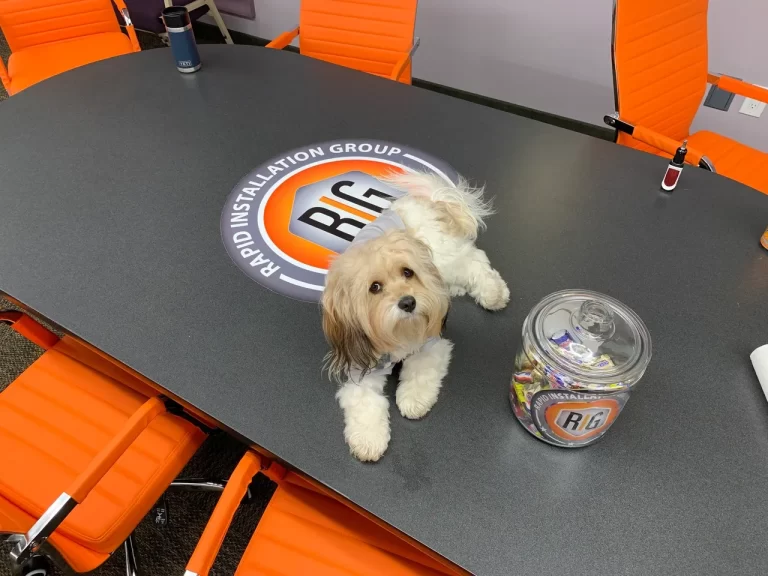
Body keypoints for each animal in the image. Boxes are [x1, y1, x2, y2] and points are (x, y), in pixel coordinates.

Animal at [322, 172, 510, 464]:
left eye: (407, 273)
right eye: (374, 287)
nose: (408, 302)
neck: (399, 332)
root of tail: (429, 201)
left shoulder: (431, 344)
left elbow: (420, 373)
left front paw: (413, 401)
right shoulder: (360, 367)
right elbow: (366, 404)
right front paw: (368, 440)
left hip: (445, 258)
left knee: (474, 261)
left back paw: (494, 293)